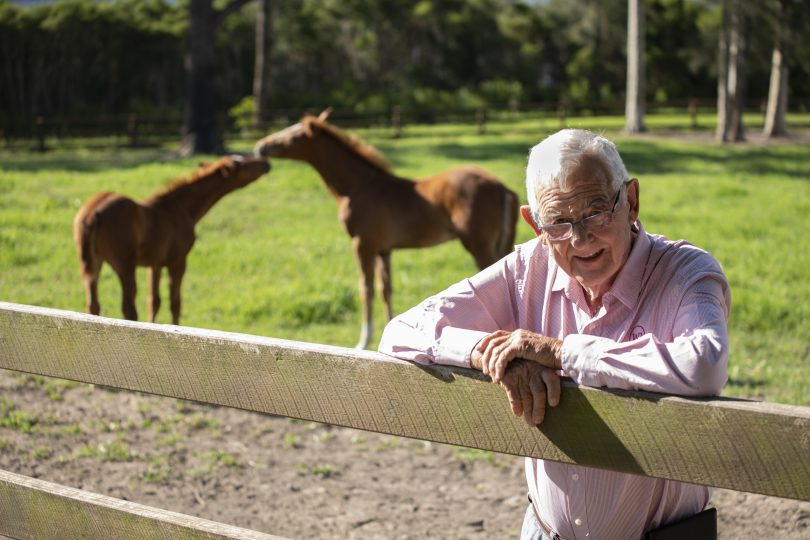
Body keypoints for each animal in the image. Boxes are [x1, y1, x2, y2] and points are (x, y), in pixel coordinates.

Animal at [73, 156, 268, 324]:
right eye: (242, 164)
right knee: (128, 308)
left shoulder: (154, 264)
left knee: (93, 305)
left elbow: (154, 301)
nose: (266, 163)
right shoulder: (178, 261)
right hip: (124, 266)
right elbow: (175, 303)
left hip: (92, 266)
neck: (179, 208)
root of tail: (93, 214)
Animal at [254, 108, 516, 350]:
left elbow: (366, 289)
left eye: (293, 135)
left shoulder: (363, 244)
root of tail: (502, 187)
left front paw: (363, 341)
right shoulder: (384, 250)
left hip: (479, 245)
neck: (359, 186)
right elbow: (385, 289)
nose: (261, 146)